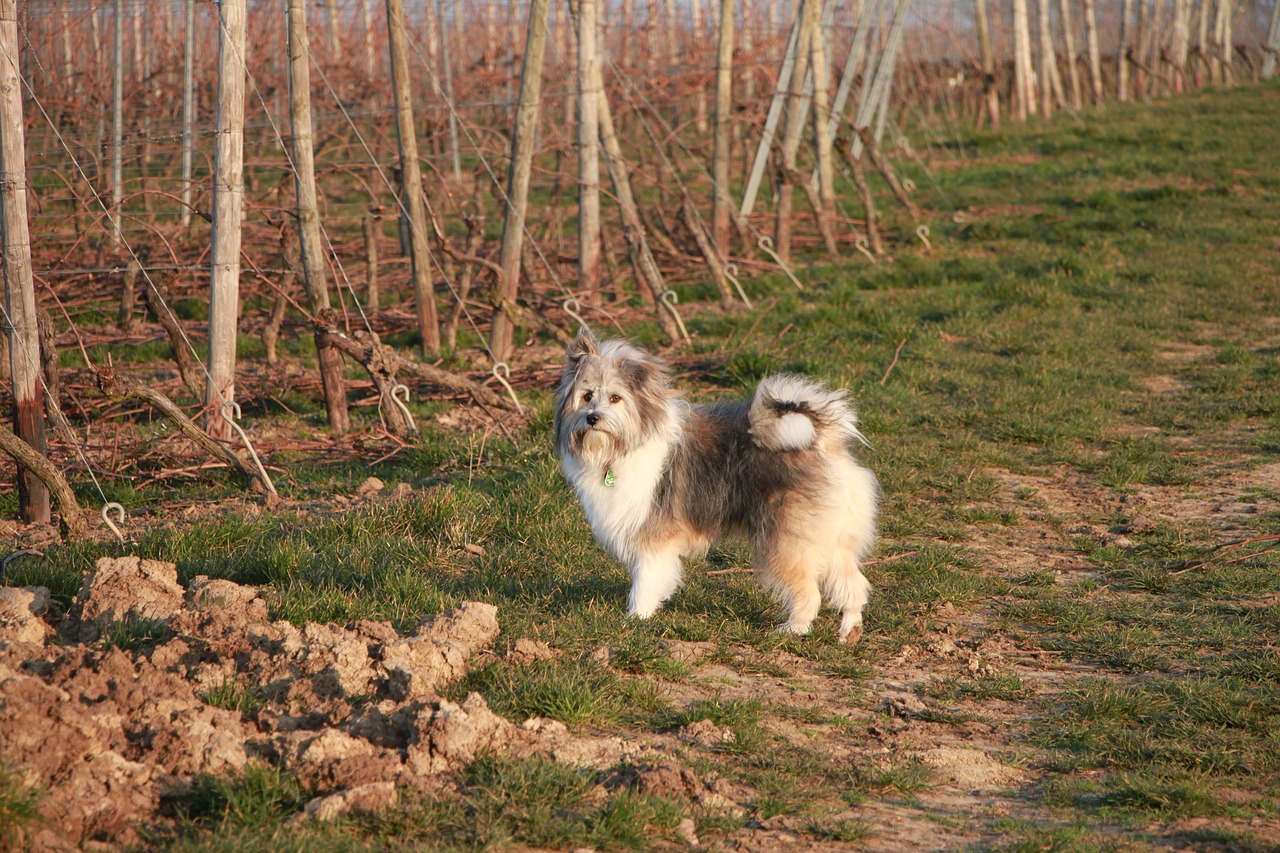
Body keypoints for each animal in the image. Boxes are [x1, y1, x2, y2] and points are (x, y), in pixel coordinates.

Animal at [550, 327, 880, 640]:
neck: (622, 445)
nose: (592, 418)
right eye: (587, 396)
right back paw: (850, 630)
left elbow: (645, 580)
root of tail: (820, 440)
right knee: (853, 583)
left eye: (615, 398)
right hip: (829, 537)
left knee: (810, 593)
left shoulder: (653, 536)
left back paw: (794, 629)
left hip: (786, 541)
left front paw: (636, 619)